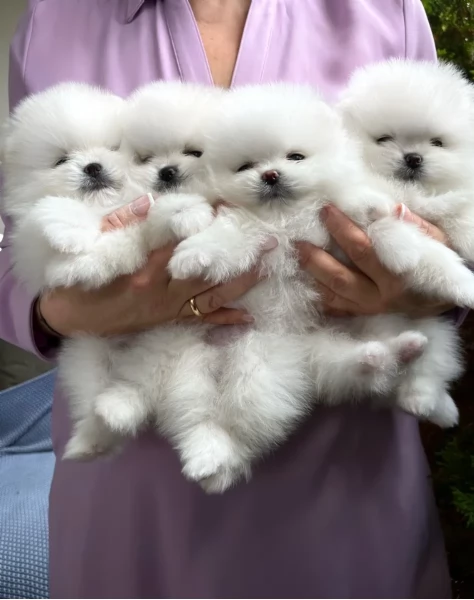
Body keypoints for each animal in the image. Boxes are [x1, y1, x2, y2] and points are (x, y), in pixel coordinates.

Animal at [169, 82, 462, 492]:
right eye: (245, 166)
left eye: (295, 156)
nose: (270, 174)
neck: (285, 218)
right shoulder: (247, 232)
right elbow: (221, 238)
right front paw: (190, 256)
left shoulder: (333, 221)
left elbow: (386, 227)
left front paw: (453, 278)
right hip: (217, 369)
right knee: (211, 418)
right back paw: (209, 459)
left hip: (311, 354)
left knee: (360, 368)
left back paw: (398, 354)